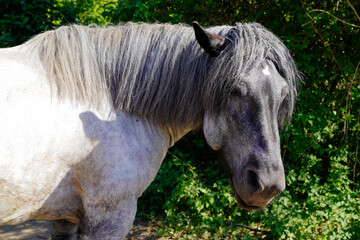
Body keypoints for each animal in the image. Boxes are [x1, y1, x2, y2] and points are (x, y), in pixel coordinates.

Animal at [0, 21, 300, 239]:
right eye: (234, 90)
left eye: (283, 94)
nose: (268, 185)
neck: (115, 106)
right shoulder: (109, 216)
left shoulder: (66, 218)